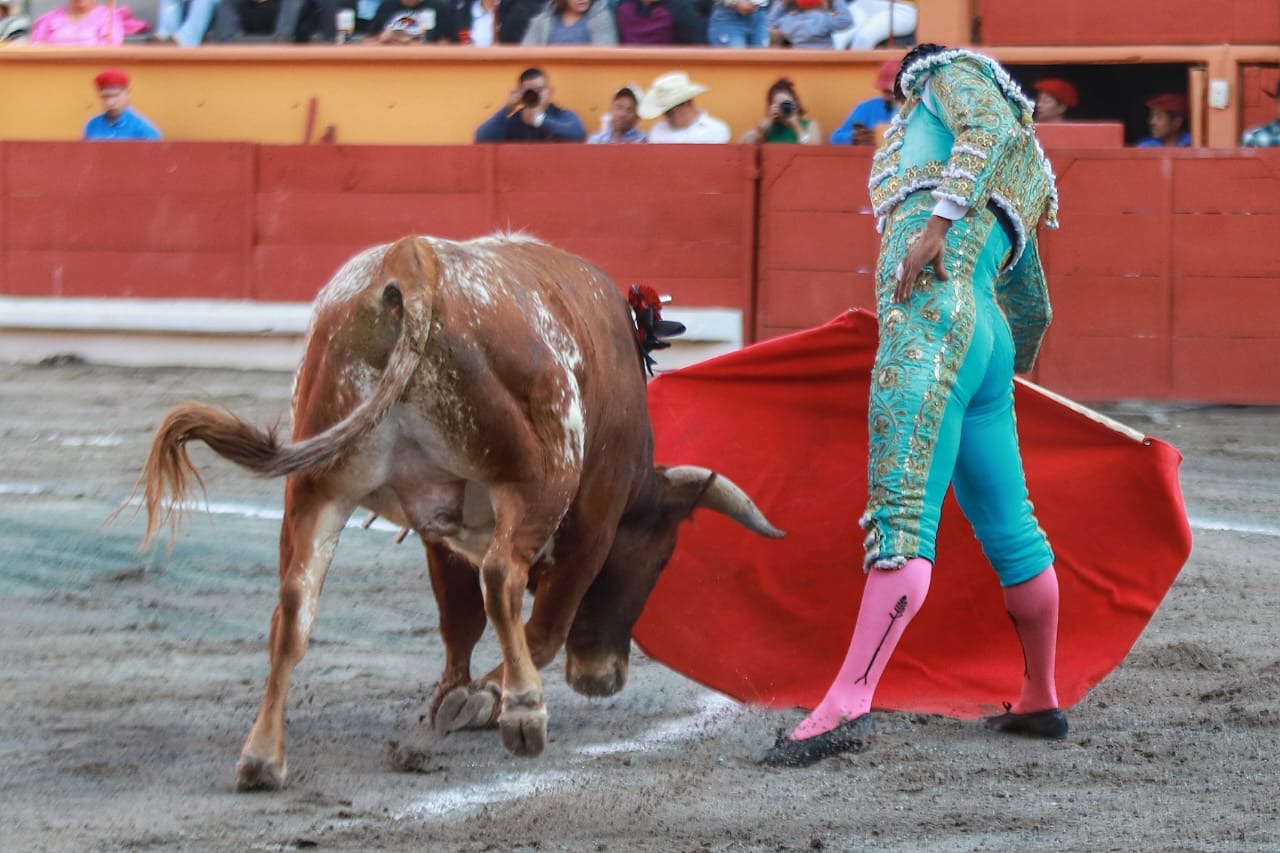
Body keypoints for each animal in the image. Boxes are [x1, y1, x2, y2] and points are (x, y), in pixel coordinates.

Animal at [137, 234, 778, 788]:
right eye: (662, 558)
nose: (604, 678)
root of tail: (412, 261)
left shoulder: (438, 526)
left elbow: (458, 619)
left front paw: (453, 696)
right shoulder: (593, 522)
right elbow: (539, 625)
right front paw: (488, 700)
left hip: (319, 488)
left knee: (294, 608)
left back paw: (262, 759)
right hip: (537, 480)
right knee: (502, 578)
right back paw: (524, 715)